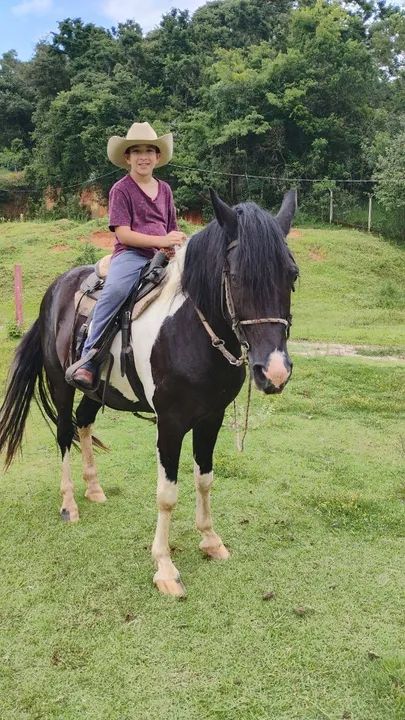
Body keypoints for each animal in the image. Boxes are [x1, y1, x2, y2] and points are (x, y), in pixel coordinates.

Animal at [0, 189, 298, 597]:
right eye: (236, 277)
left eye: (292, 275)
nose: (274, 372)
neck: (191, 329)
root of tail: (56, 289)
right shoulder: (170, 424)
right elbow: (167, 495)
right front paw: (165, 568)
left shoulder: (212, 418)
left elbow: (205, 479)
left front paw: (211, 541)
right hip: (61, 385)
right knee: (63, 435)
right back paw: (70, 505)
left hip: (95, 391)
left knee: (83, 424)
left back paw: (94, 489)